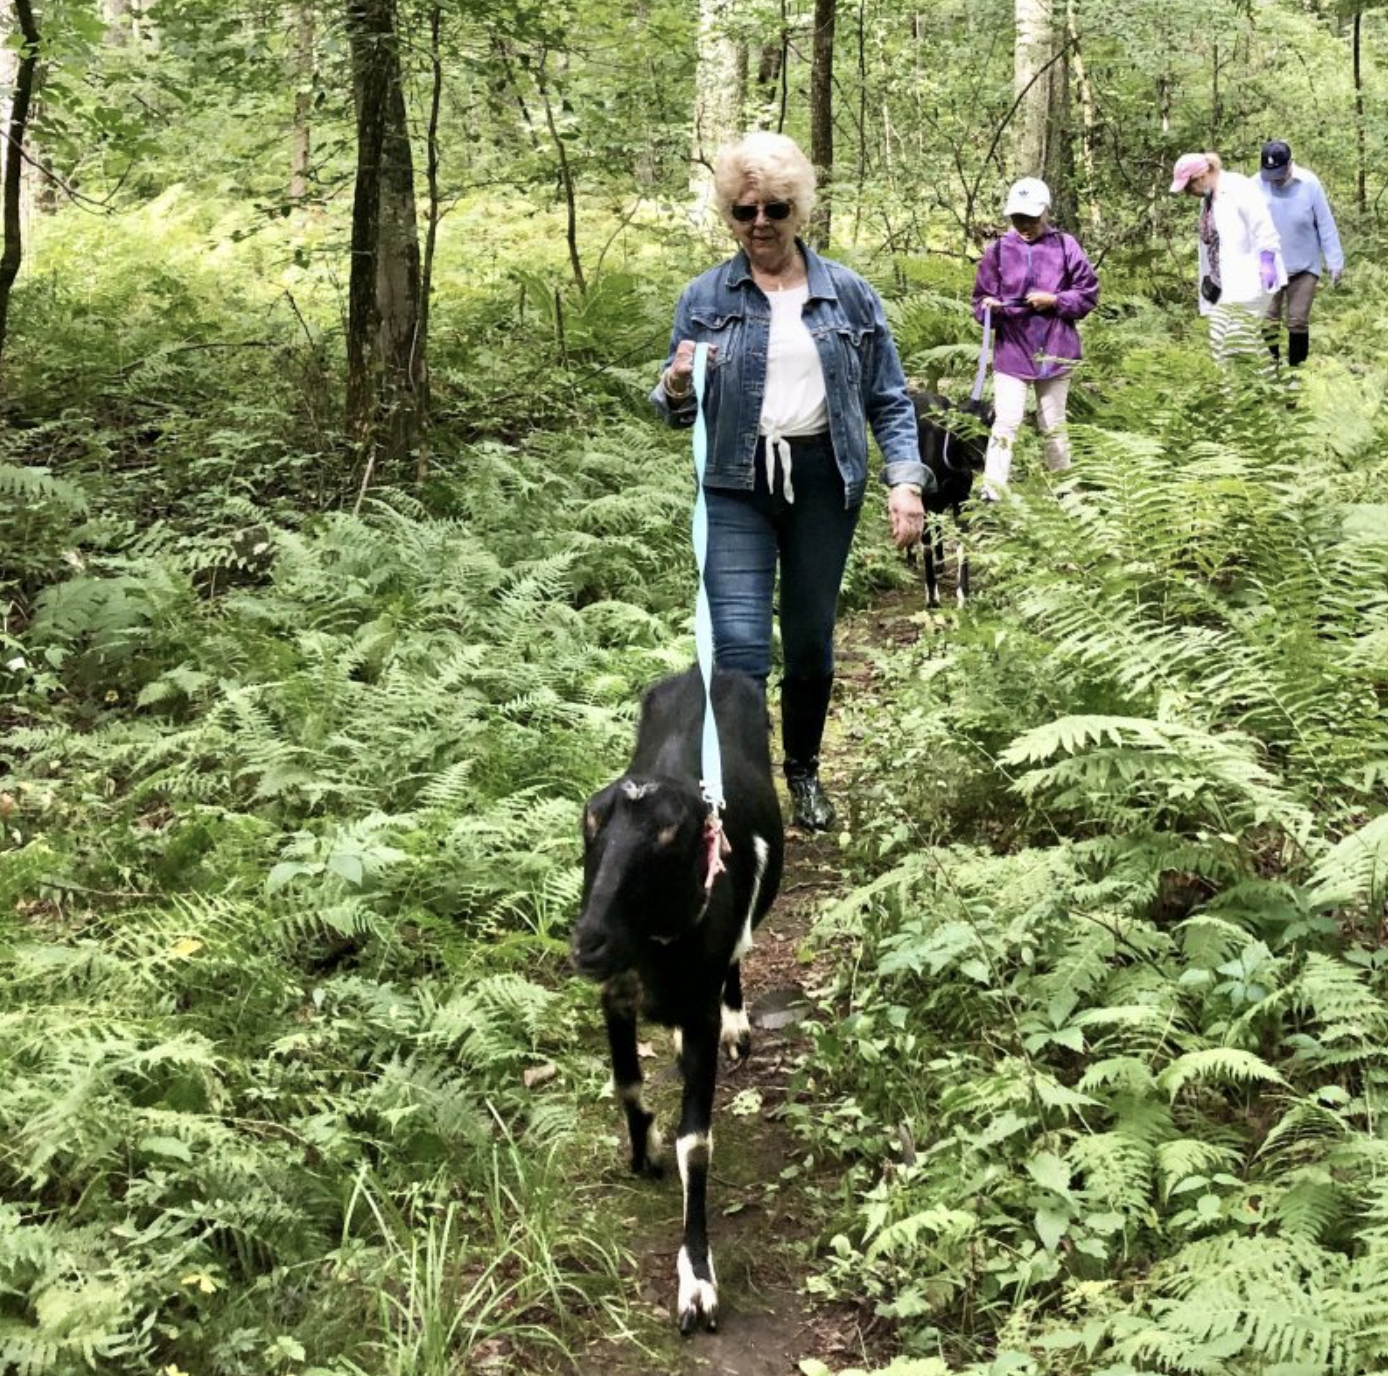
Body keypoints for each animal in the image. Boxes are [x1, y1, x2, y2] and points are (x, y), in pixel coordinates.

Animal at [571, 666, 784, 1334]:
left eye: (668, 837)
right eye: (590, 828)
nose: (588, 942)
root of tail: (707, 669)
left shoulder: (697, 1004)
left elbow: (699, 1144)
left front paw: (697, 1280)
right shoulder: (616, 993)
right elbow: (627, 1084)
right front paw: (646, 1150)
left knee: (738, 952)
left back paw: (737, 1023)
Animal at [910, 392, 994, 608]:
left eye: (987, 424)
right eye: (960, 426)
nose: (978, 460)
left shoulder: (960, 501)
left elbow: (962, 545)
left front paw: (963, 594)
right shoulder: (925, 503)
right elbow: (926, 546)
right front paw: (932, 596)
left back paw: (940, 562)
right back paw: (911, 558)